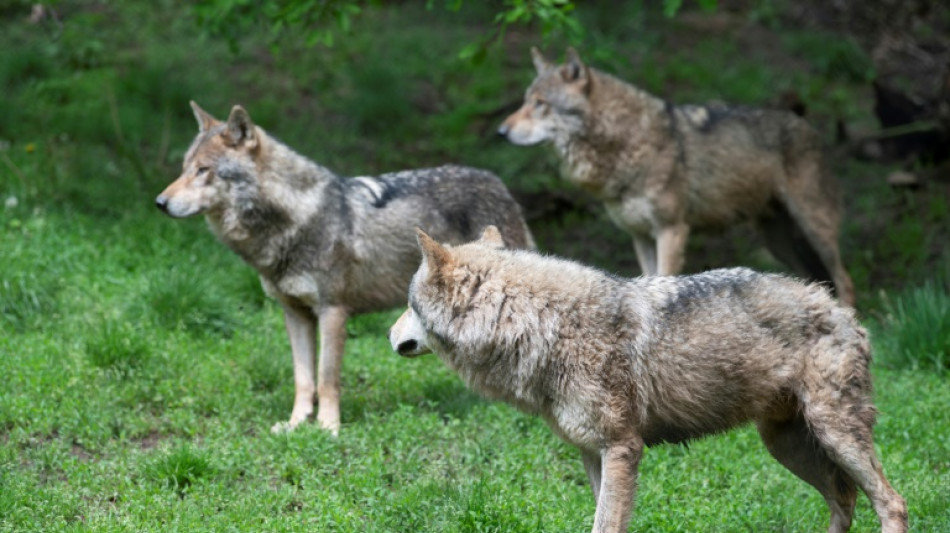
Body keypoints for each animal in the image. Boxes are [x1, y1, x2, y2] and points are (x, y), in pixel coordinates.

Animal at [156, 103, 536, 432]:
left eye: (203, 170)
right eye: (184, 168)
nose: (160, 202)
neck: (294, 223)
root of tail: (497, 182)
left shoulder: (333, 311)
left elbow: (326, 378)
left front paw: (328, 428)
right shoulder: (294, 314)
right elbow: (303, 378)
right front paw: (296, 425)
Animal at [388, 225, 908, 532]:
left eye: (408, 305)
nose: (389, 335)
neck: (539, 324)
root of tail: (841, 308)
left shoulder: (623, 449)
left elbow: (605, 525)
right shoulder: (593, 454)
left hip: (835, 436)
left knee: (891, 502)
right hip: (786, 445)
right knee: (844, 500)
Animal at [502, 48, 860, 308]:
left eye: (540, 104)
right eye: (525, 102)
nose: (501, 131)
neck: (625, 142)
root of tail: (808, 126)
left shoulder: (671, 230)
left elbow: (663, 277)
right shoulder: (640, 236)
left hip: (816, 229)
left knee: (844, 279)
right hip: (778, 242)